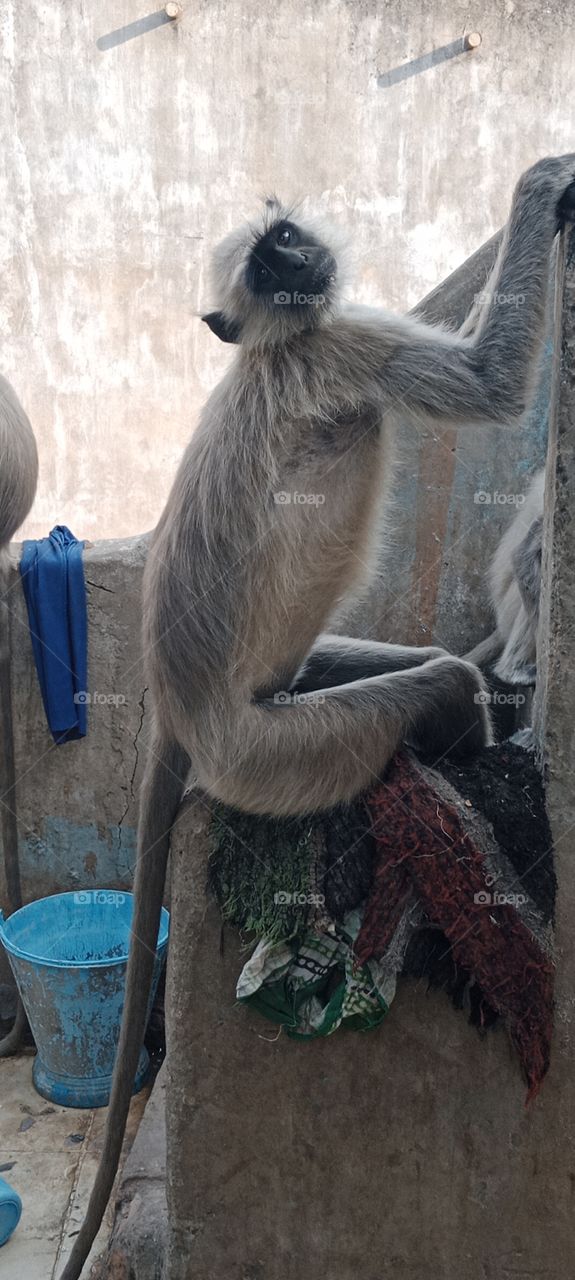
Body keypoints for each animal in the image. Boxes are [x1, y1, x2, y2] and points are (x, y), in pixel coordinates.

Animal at [61, 156, 575, 1280]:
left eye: (280, 240)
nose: (299, 255)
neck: (275, 343)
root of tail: (174, 713)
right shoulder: (344, 345)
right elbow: (490, 383)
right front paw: (545, 178)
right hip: (274, 753)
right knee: (434, 686)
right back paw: (474, 756)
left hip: (295, 693)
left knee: (392, 668)